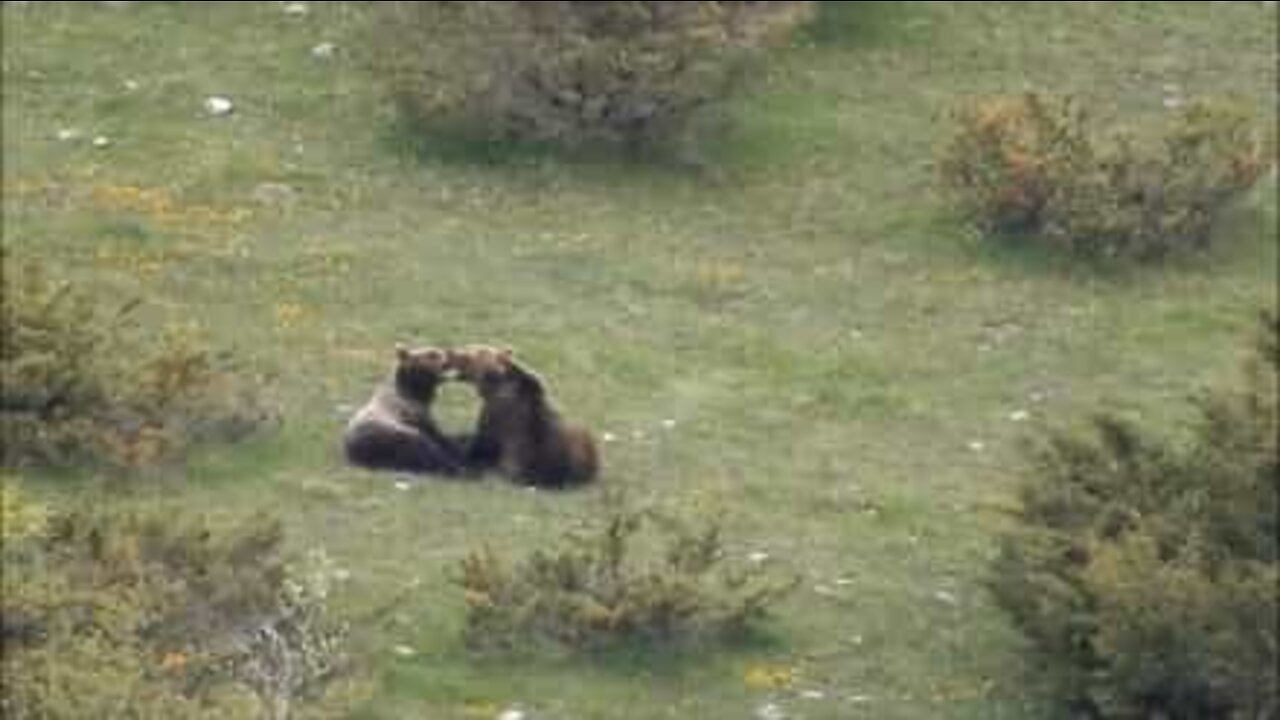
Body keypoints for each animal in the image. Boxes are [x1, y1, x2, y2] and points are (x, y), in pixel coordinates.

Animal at [343, 345, 468, 474]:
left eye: (437, 351)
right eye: (432, 353)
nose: (449, 354)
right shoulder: (411, 413)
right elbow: (437, 436)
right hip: (387, 435)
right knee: (422, 446)